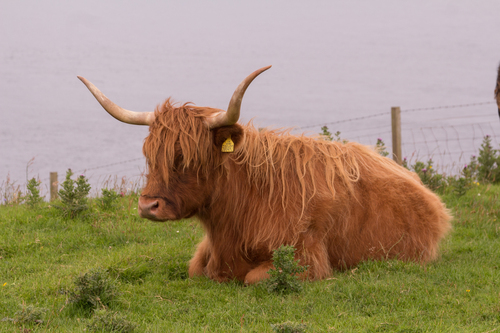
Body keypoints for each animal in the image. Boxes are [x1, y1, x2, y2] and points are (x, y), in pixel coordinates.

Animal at [77, 67, 450, 282]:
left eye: (188, 157)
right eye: (149, 155)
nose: (148, 206)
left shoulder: (304, 257)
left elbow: (252, 278)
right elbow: (196, 270)